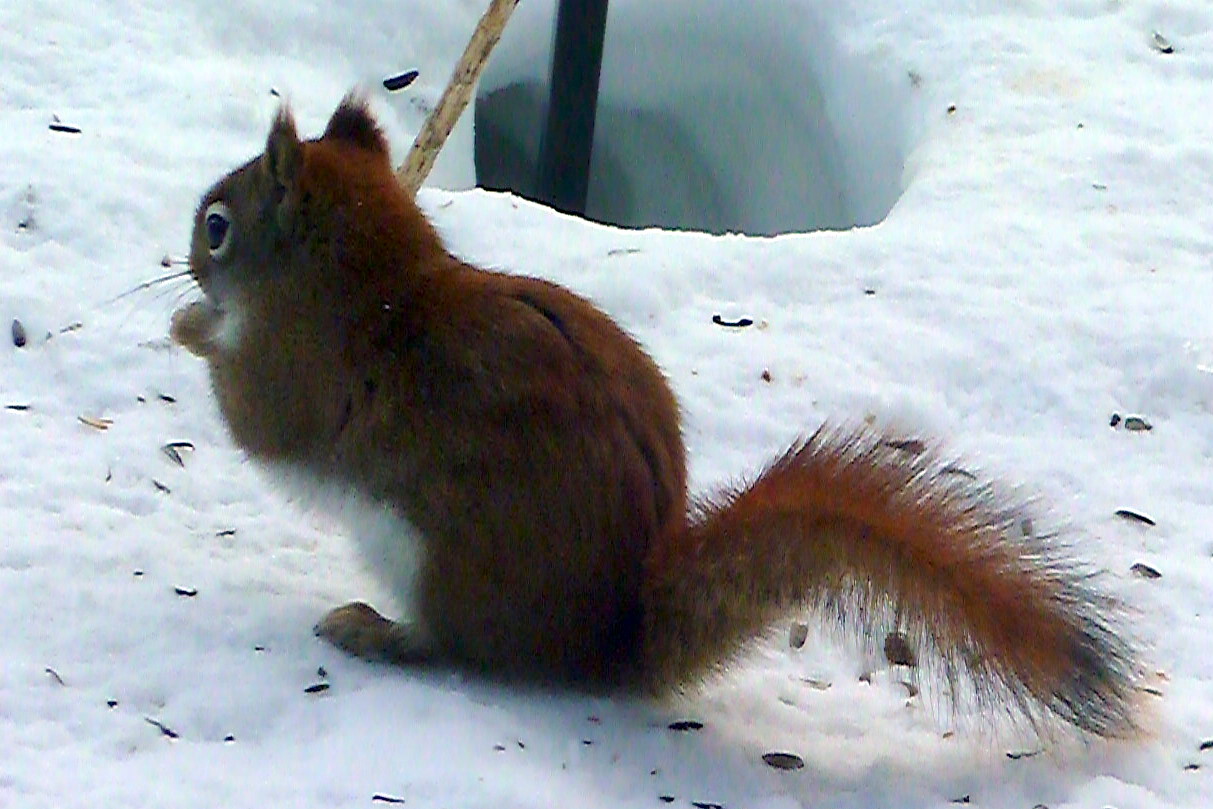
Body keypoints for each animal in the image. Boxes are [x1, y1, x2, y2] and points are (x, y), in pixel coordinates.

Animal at [171, 96, 1139, 739]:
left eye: (217, 225)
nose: (187, 260)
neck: (370, 283)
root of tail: (606, 640)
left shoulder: (300, 375)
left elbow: (253, 417)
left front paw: (188, 328)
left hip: (445, 557)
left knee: (461, 650)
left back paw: (376, 632)